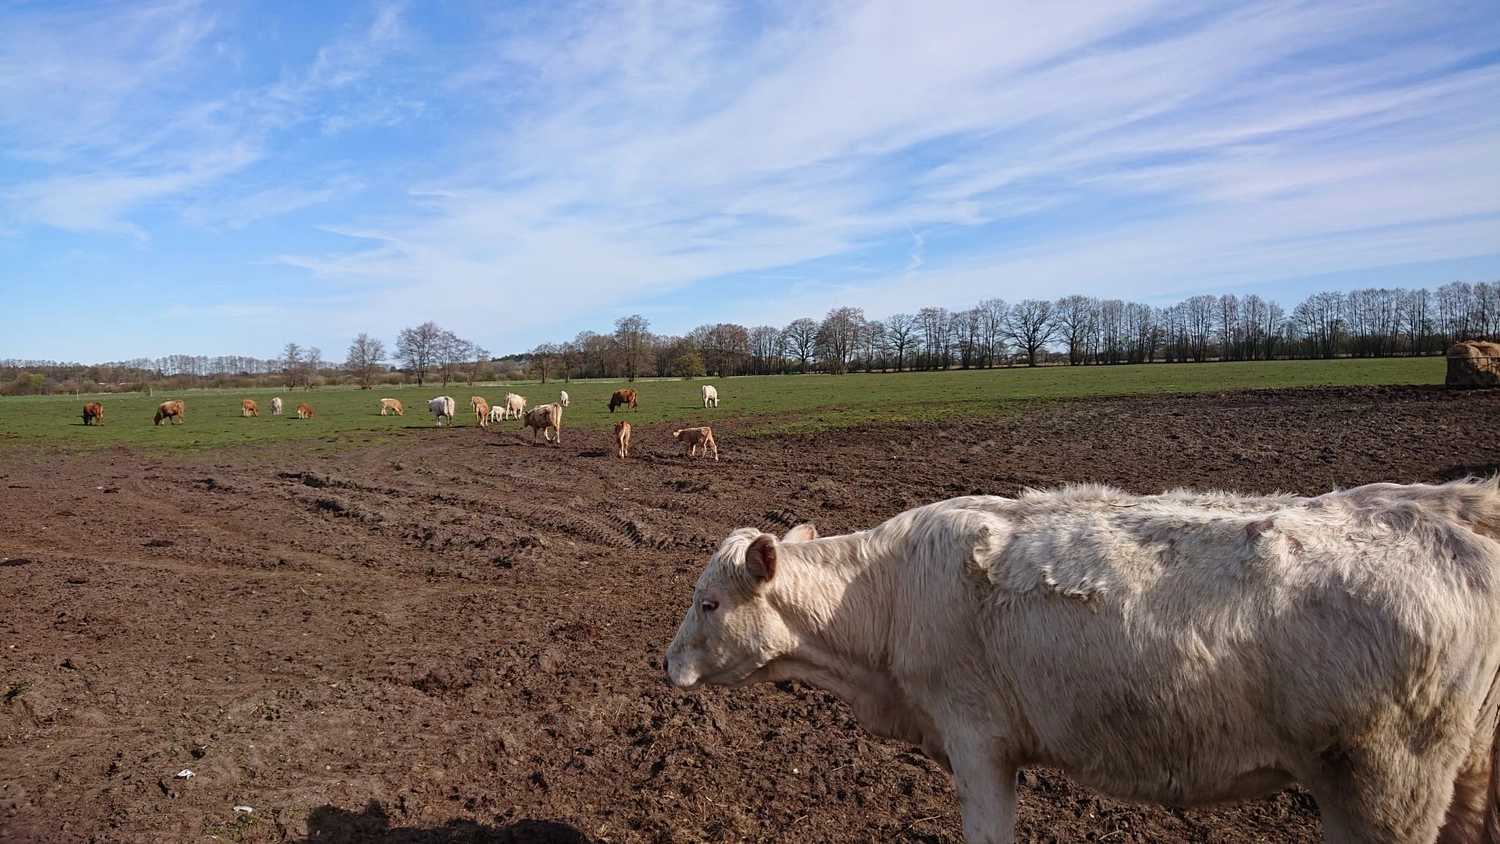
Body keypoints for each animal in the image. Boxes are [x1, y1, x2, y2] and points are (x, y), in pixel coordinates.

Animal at [665, 479, 1500, 844]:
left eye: (710, 603)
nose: (665, 665)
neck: (884, 592)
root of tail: (1443, 509)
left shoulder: (977, 742)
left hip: (1383, 786)